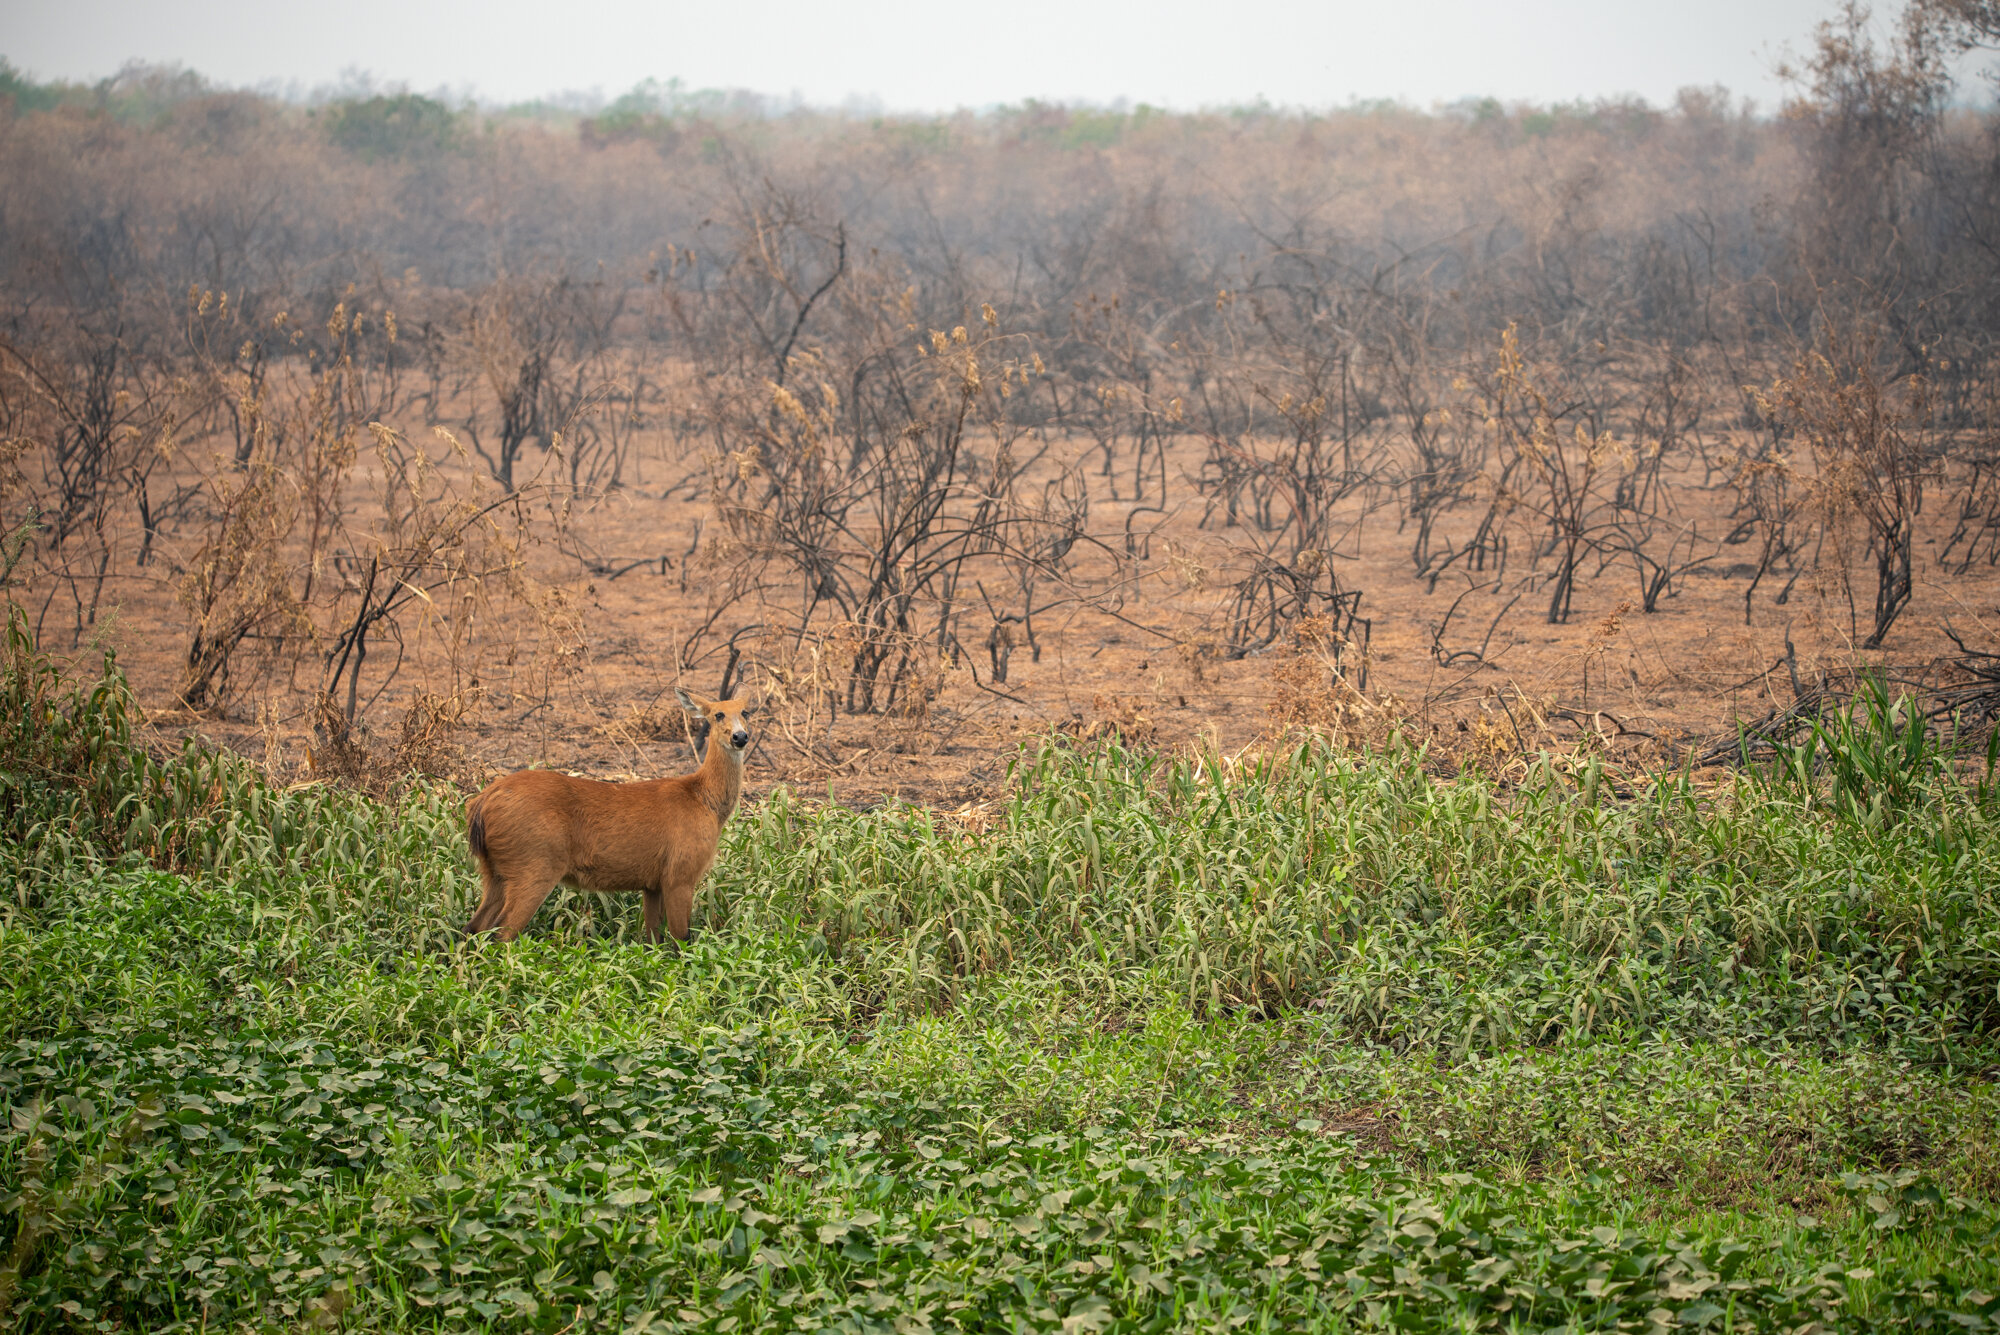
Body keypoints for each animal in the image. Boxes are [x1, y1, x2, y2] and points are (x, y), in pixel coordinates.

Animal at [460, 695, 756, 943]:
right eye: (718, 714)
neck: (704, 800)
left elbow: (653, 939)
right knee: (501, 933)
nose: (740, 736)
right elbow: (681, 939)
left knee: (473, 928)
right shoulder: (680, 873)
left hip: (494, 870)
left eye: (745, 711)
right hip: (534, 865)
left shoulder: (652, 883)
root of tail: (482, 802)